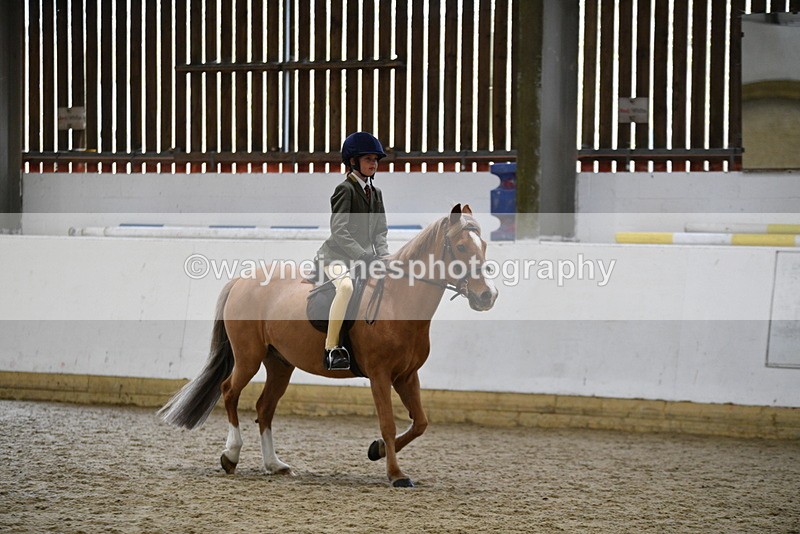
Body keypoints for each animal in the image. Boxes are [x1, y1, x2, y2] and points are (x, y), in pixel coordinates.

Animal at [158, 204, 498, 487]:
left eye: (483, 245)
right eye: (461, 246)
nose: (487, 296)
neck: (397, 300)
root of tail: (241, 281)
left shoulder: (406, 376)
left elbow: (421, 423)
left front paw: (376, 450)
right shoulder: (380, 375)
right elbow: (388, 423)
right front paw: (396, 474)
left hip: (279, 363)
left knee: (264, 407)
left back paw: (275, 465)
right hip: (248, 357)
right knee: (229, 391)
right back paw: (231, 456)